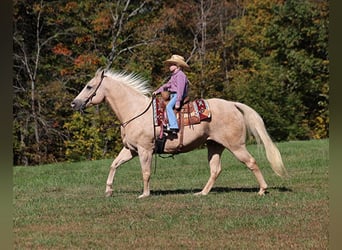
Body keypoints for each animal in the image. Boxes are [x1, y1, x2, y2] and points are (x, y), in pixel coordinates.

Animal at [71, 69, 288, 198]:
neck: (135, 110)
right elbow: (114, 165)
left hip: (236, 146)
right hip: (215, 145)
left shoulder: (144, 150)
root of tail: (232, 104)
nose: (74, 103)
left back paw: (262, 190)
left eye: (89, 86)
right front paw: (108, 190)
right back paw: (202, 193)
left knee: (251, 162)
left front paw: (145, 194)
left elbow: (145, 172)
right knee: (215, 170)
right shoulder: (130, 149)